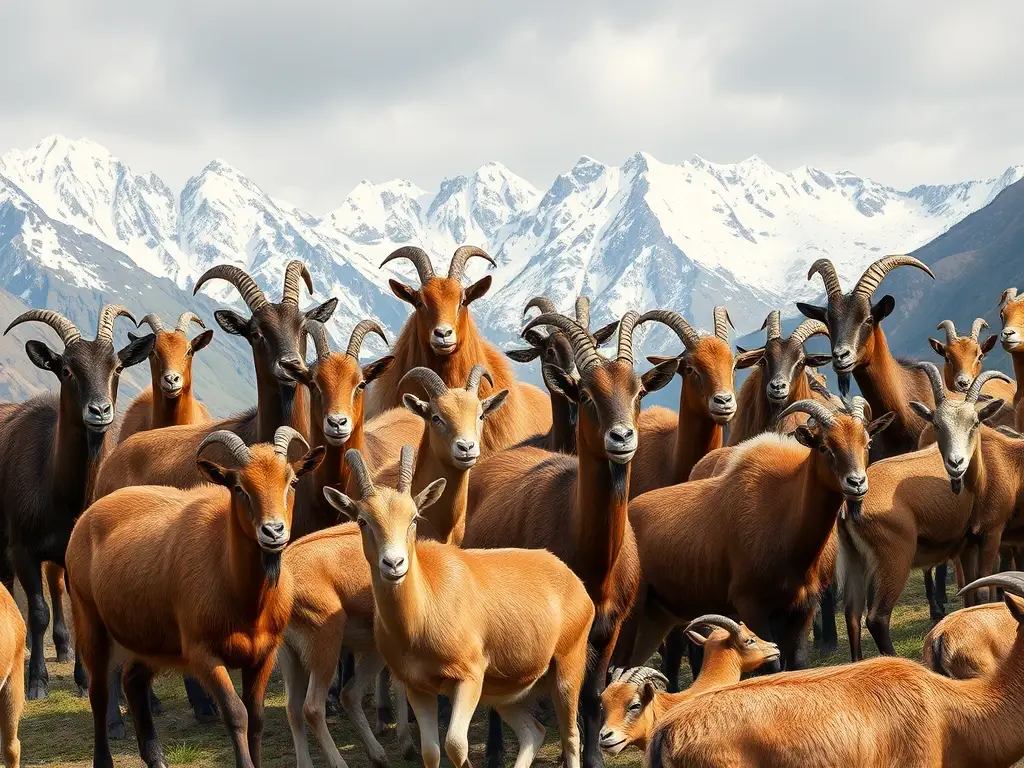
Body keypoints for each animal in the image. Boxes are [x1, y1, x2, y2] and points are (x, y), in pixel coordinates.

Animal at [0, 306, 153, 699]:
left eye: (117, 367)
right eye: (67, 369)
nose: (99, 411)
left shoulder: (74, 548)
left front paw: (84, 680)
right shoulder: (21, 547)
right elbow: (37, 611)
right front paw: (37, 682)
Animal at [67, 427, 324, 768]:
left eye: (292, 481)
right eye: (239, 487)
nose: (273, 531)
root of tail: (87, 516)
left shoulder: (264, 654)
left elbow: (256, 718)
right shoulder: (203, 654)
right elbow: (236, 714)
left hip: (151, 638)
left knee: (133, 681)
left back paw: (156, 759)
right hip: (90, 621)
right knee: (99, 694)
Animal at [325, 447, 594, 768]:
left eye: (414, 518)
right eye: (363, 521)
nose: (394, 564)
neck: (422, 613)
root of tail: (570, 578)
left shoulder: (469, 678)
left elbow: (455, 745)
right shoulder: (419, 688)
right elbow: (431, 752)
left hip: (567, 671)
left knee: (570, 736)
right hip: (504, 693)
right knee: (533, 732)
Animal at [627, 398, 892, 673]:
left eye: (867, 442)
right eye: (824, 446)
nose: (857, 483)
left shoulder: (802, 607)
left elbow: (797, 664)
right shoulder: (751, 606)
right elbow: (771, 665)